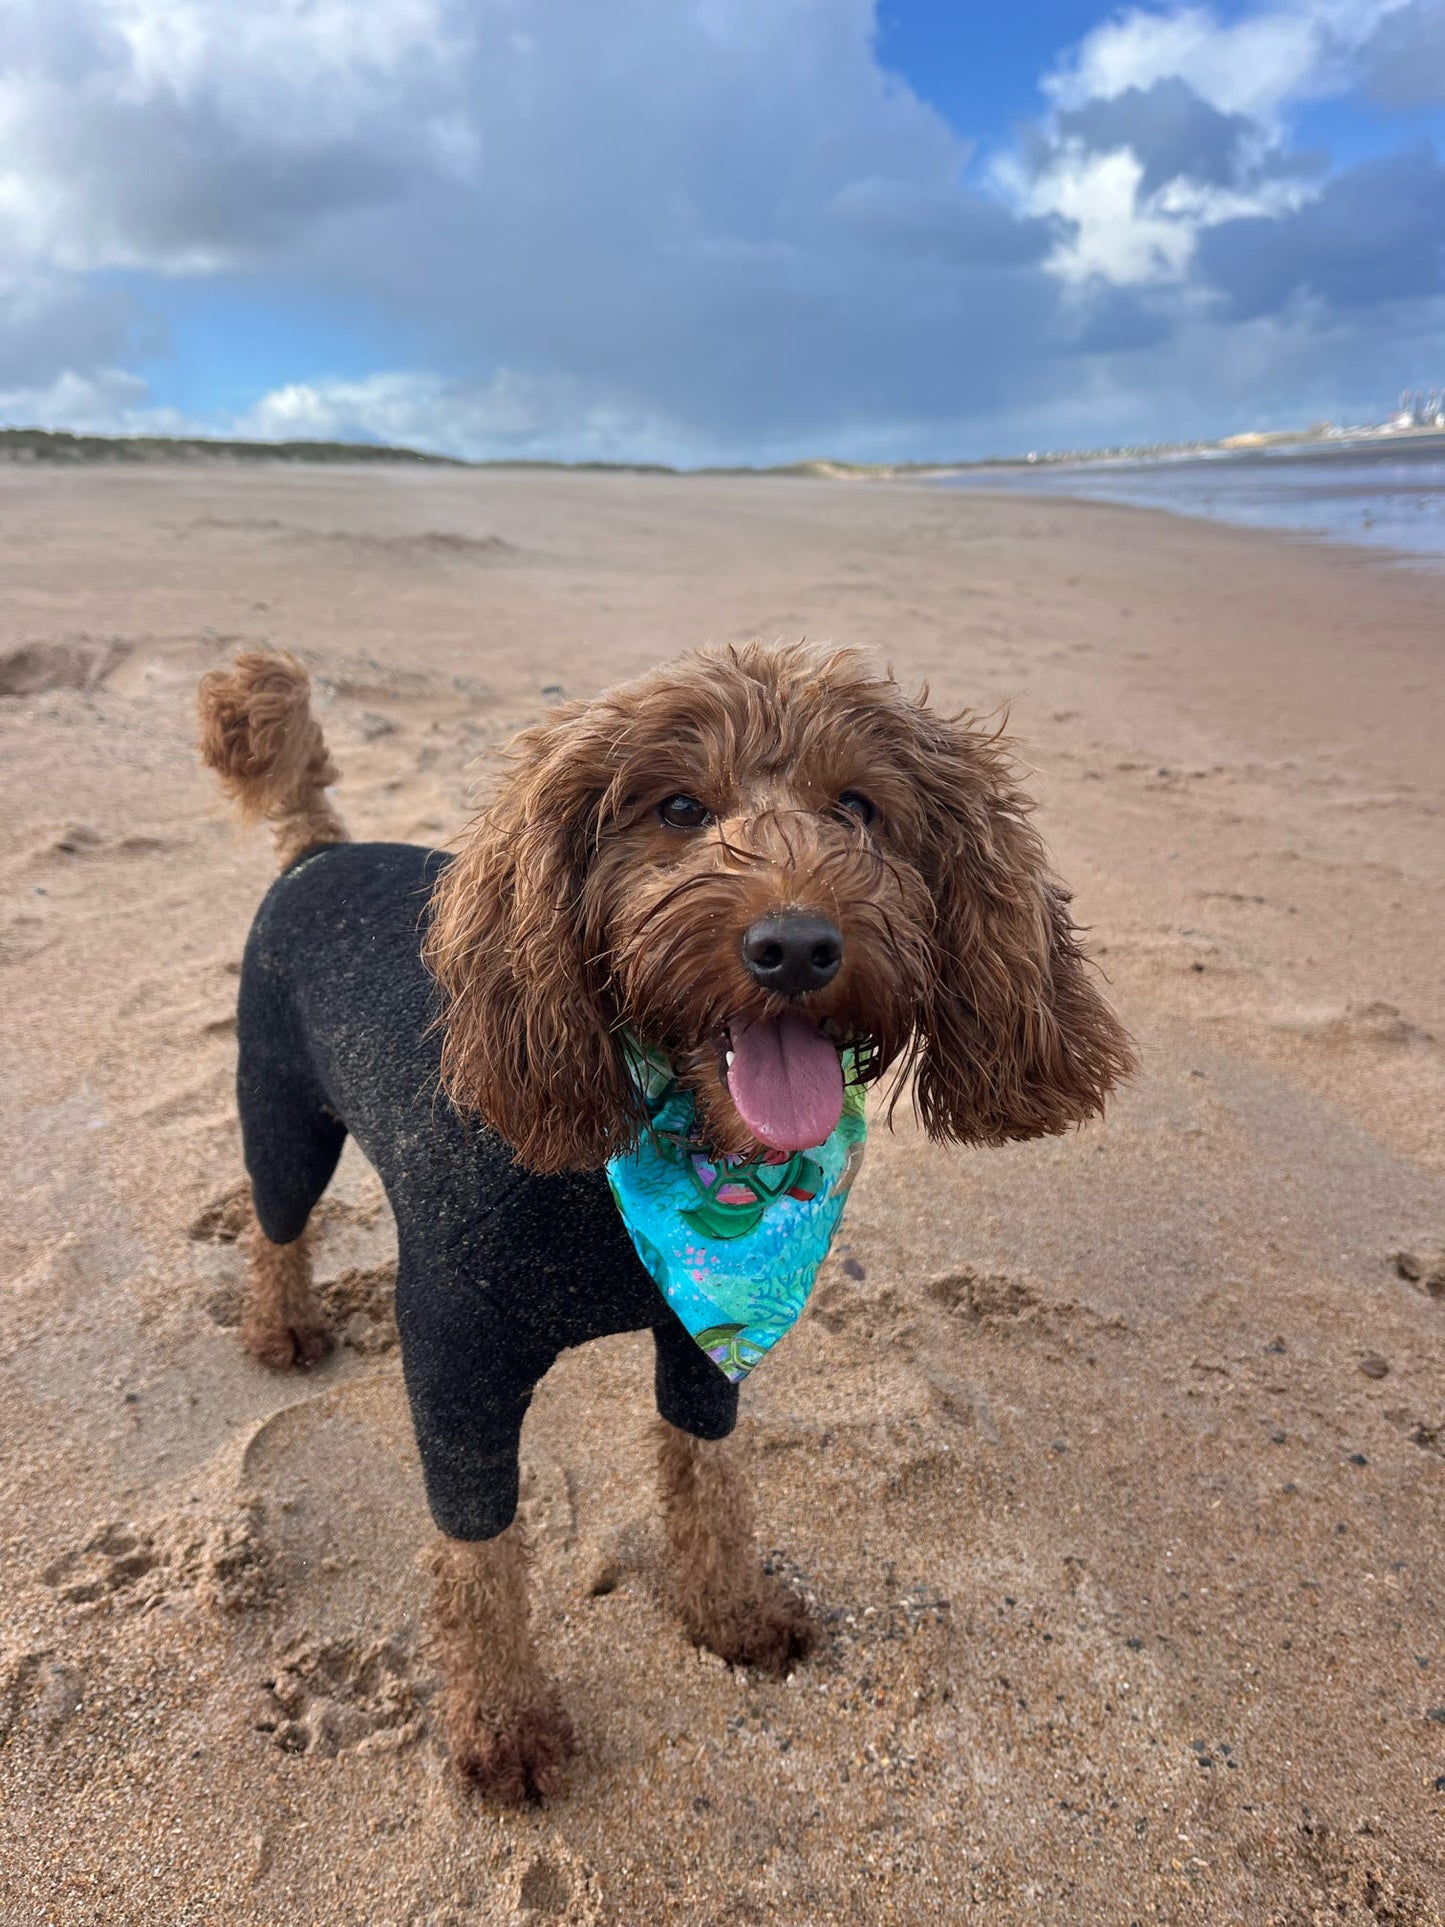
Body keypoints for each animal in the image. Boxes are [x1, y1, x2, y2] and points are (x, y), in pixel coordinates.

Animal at [195, 639, 1140, 1795]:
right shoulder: (454, 1356)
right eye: (678, 806)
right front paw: (503, 1719)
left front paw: (727, 1611)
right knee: (274, 1223)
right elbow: (478, 1555)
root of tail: (319, 847)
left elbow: (707, 1478)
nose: (795, 946)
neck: (668, 1153)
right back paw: (282, 1323)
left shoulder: (705, 1337)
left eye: (858, 807)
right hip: (278, 1107)